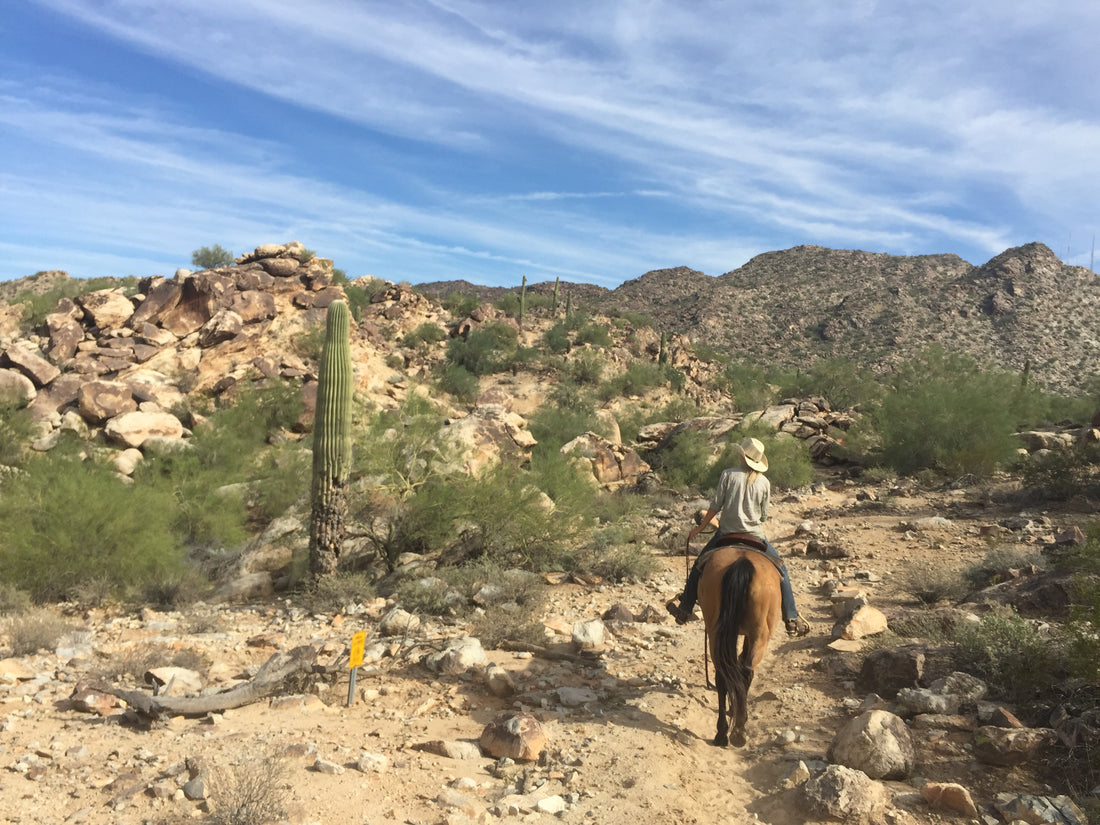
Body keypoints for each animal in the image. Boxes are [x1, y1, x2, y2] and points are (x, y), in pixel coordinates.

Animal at [695, 545, 783, 748]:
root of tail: (742, 562)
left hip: (716, 633)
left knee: (723, 674)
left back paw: (722, 733)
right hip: (760, 635)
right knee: (746, 671)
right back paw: (739, 731)